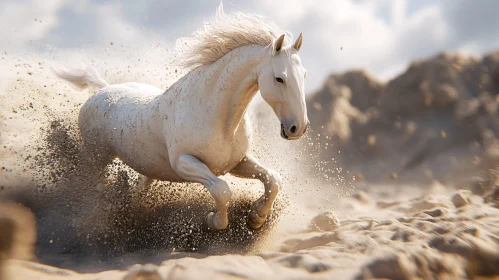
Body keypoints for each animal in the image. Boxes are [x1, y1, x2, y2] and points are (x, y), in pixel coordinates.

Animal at [52, 5, 306, 231]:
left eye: (303, 74)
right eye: (279, 78)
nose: (298, 128)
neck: (216, 116)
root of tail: (101, 90)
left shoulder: (237, 162)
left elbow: (273, 179)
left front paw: (256, 218)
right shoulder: (185, 162)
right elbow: (222, 190)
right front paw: (212, 221)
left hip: (147, 168)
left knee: (138, 189)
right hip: (97, 158)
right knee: (95, 185)